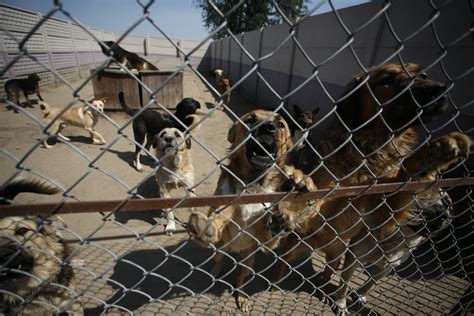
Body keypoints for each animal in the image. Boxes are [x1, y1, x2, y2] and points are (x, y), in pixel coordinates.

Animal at [187, 110, 316, 312]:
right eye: (250, 120)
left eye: (280, 124)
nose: (267, 128)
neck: (253, 184)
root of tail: (236, 251)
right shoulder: (224, 207)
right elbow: (218, 218)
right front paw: (206, 226)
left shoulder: (264, 238)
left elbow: (271, 232)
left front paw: (299, 179)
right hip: (220, 249)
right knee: (218, 259)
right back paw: (215, 271)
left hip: (249, 263)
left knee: (241, 278)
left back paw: (242, 296)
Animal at [268, 63, 472, 314]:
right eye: (386, 80)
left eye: (423, 75)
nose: (440, 89)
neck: (368, 153)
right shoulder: (328, 201)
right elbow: (316, 199)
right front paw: (295, 190)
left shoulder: (384, 208)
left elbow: (406, 178)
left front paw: (437, 151)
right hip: (295, 248)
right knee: (282, 266)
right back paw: (275, 284)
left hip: (337, 252)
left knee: (328, 273)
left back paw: (323, 290)